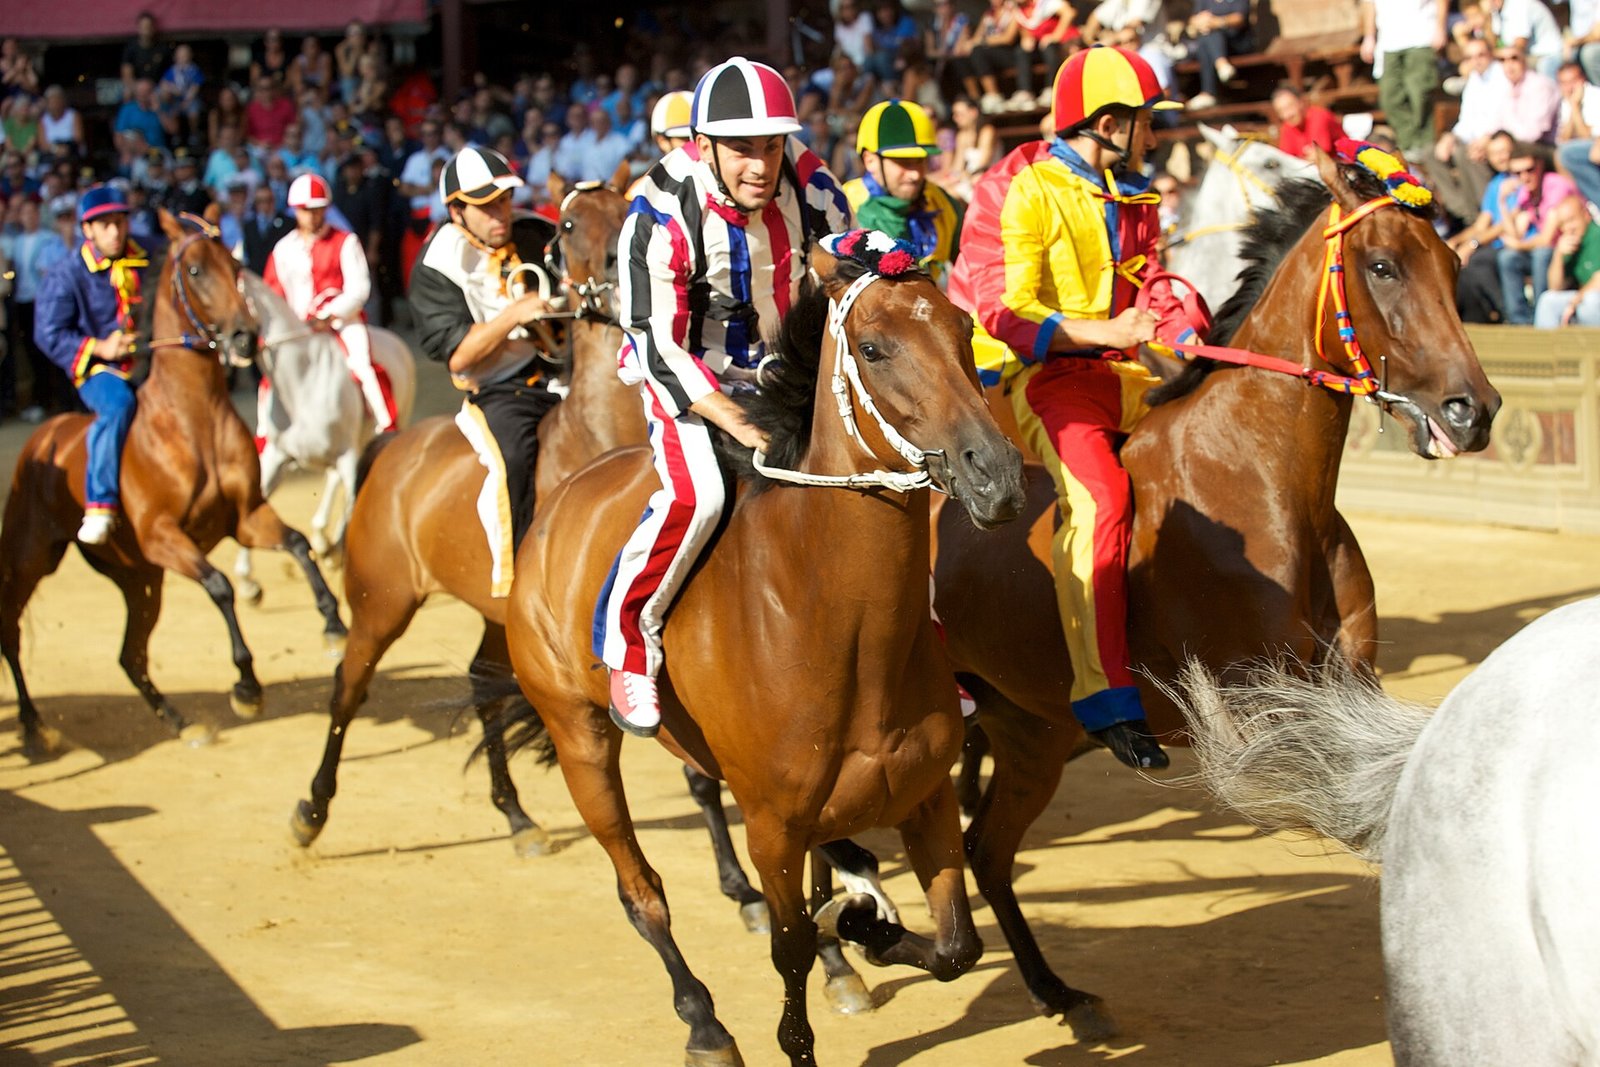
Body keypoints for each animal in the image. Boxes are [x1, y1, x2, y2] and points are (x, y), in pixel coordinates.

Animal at [0, 208, 347, 757]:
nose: (244, 337)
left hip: (138, 579)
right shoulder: (163, 536)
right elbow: (220, 585)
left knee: (130, 656)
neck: (191, 421)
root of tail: (44, 438)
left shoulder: (246, 517)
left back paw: (183, 723)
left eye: (234, 265)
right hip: (31, 557)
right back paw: (35, 726)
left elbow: (297, 545)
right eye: (196, 270)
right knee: (10, 631)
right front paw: (247, 686)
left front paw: (334, 625)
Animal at [231, 273, 418, 603]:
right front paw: (248, 582)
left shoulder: (347, 455)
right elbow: (255, 500)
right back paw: (323, 541)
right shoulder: (277, 457)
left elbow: (354, 498)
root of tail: (394, 339)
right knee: (332, 481)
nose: (237, 347)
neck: (300, 383)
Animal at [287, 181, 644, 857]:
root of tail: (393, 448)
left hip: (491, 615)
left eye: (626, 207)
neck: (597, 438)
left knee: (480, 685)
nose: (619, 275)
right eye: (568, 224)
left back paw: (516, 814)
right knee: (350, 684)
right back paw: (311, 809)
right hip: (381, 603)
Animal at [500, 242, 1026, 1067]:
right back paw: (705, 1023)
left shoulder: (926, 794)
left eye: (964, 330)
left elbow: (953, 946)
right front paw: (832, 953)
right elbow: (791, 950)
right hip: (578, 734)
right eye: (873, 348)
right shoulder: (772, 825)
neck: (836, 630)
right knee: (641, 891)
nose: (994, 474)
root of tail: (561, 497)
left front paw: (866, 926)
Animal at [928, 150, 1501, 1036]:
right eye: (1382, 265)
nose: (1472, 409)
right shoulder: (1259, 705)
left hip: (1031, 729)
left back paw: (1058, 991)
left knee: (987, 849)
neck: (1258, 475)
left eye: (1449, 263)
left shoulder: (1352, 686)